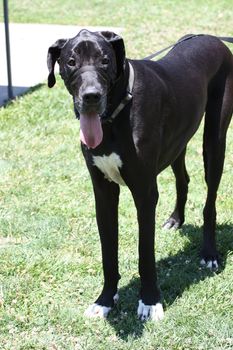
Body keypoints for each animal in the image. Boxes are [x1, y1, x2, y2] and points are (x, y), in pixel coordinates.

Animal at [47, 30, 233, 320]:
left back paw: (210, 253)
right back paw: (175, 219)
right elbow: (108, 252)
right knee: (183, 179)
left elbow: (145, 252)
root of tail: (213, 38)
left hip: (214, 140)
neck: (116, 112)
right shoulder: (103, 193)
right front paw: (105, 300)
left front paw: (149, 301)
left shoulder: (144, 193)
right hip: (177, 143)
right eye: (71, 62)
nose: (91, 96)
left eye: (104, 61)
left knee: (210, 200)